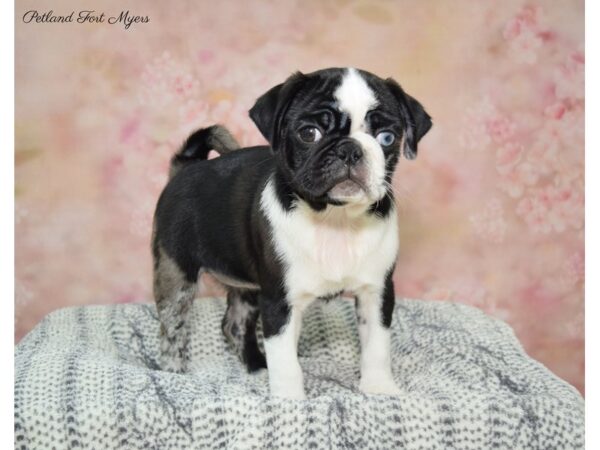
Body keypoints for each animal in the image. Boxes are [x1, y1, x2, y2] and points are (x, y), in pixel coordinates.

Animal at [150, 65, 432, 400]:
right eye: (309, 133)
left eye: (387, 137)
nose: (349, 149)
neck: (335, 218)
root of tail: (186, 165)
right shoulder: (279, 302)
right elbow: (285, 360)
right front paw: (289, 399)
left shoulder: (376, 293)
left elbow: (377, 346)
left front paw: (379, 389)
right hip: (176, 275)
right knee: (172, 328)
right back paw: (173, 371)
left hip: (248, 287)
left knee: (234, 324)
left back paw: (257, 367)